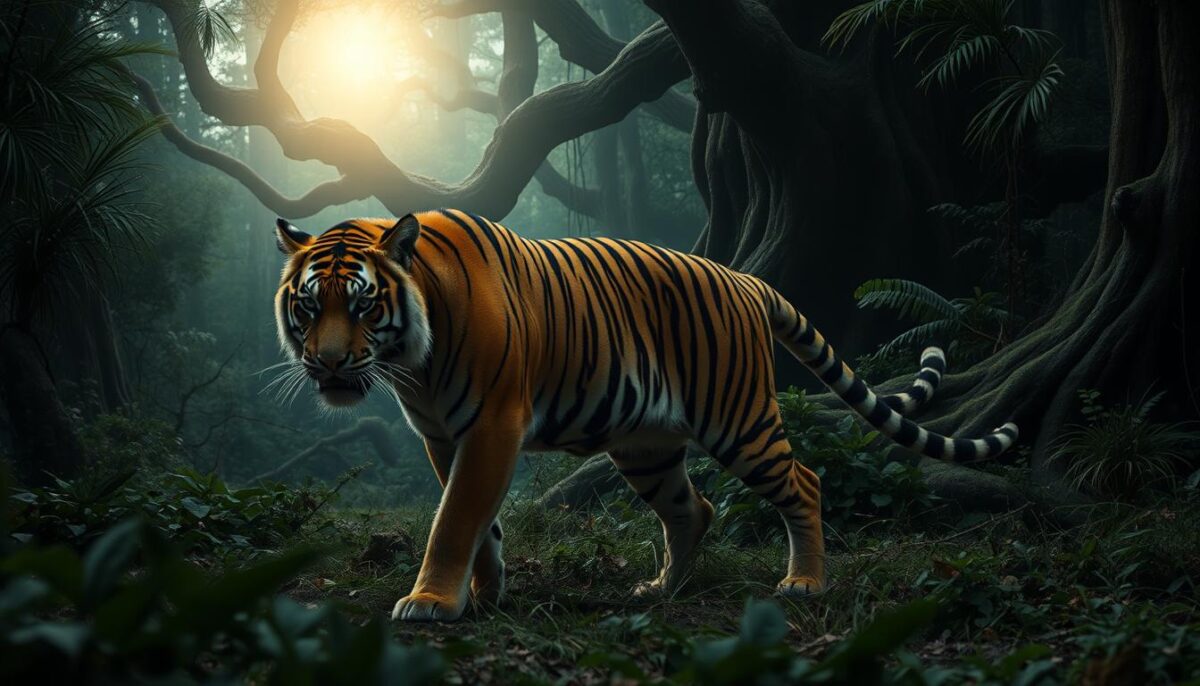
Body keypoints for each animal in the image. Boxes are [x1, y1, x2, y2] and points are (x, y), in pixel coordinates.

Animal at [271, 210, 1017, 622]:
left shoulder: (490, 426)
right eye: (309, 305)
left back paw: (804, 583)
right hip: (646, 447)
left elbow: (454, 520)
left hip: (738, 420)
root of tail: (747, 279)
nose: (329, 365)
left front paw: (430, 602)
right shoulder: (442, 435)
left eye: (363, 304)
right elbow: (480, 525)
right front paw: (482, 595)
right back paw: (660, 590)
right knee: (695, 509)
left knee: (804, 483)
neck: (413, 360)